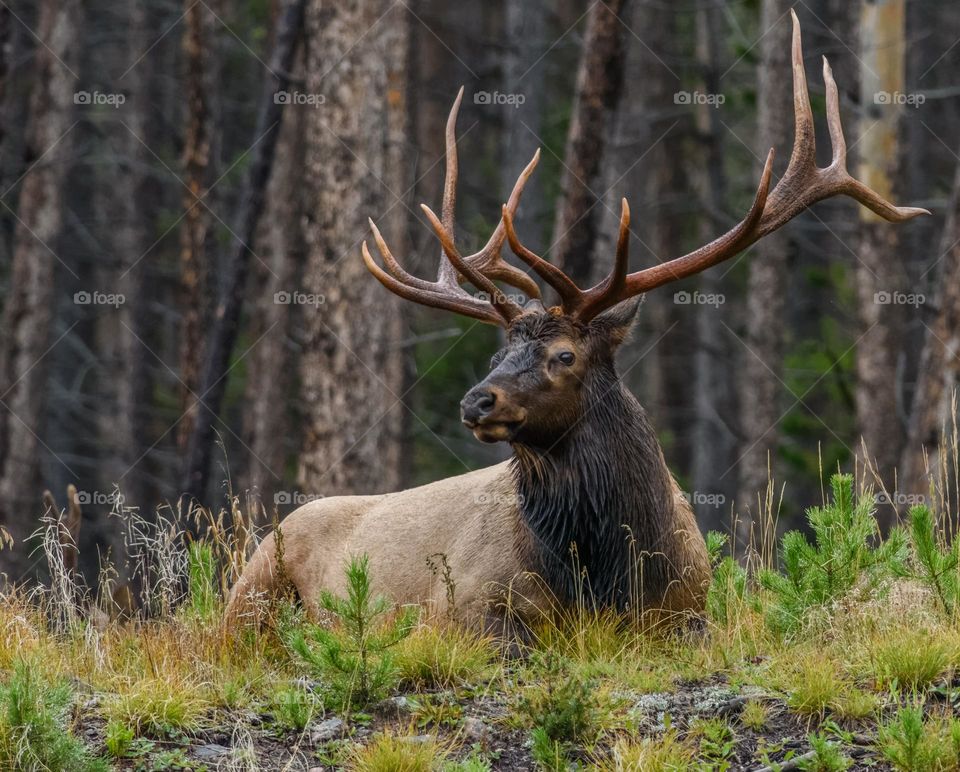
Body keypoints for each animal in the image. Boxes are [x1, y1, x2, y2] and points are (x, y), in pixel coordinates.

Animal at [227, 12, 927, 632]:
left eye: (564, 355)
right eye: (495, 356)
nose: (477, 401)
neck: (607, 579)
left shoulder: (692, 613)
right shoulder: (463, 612)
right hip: (249, 589)